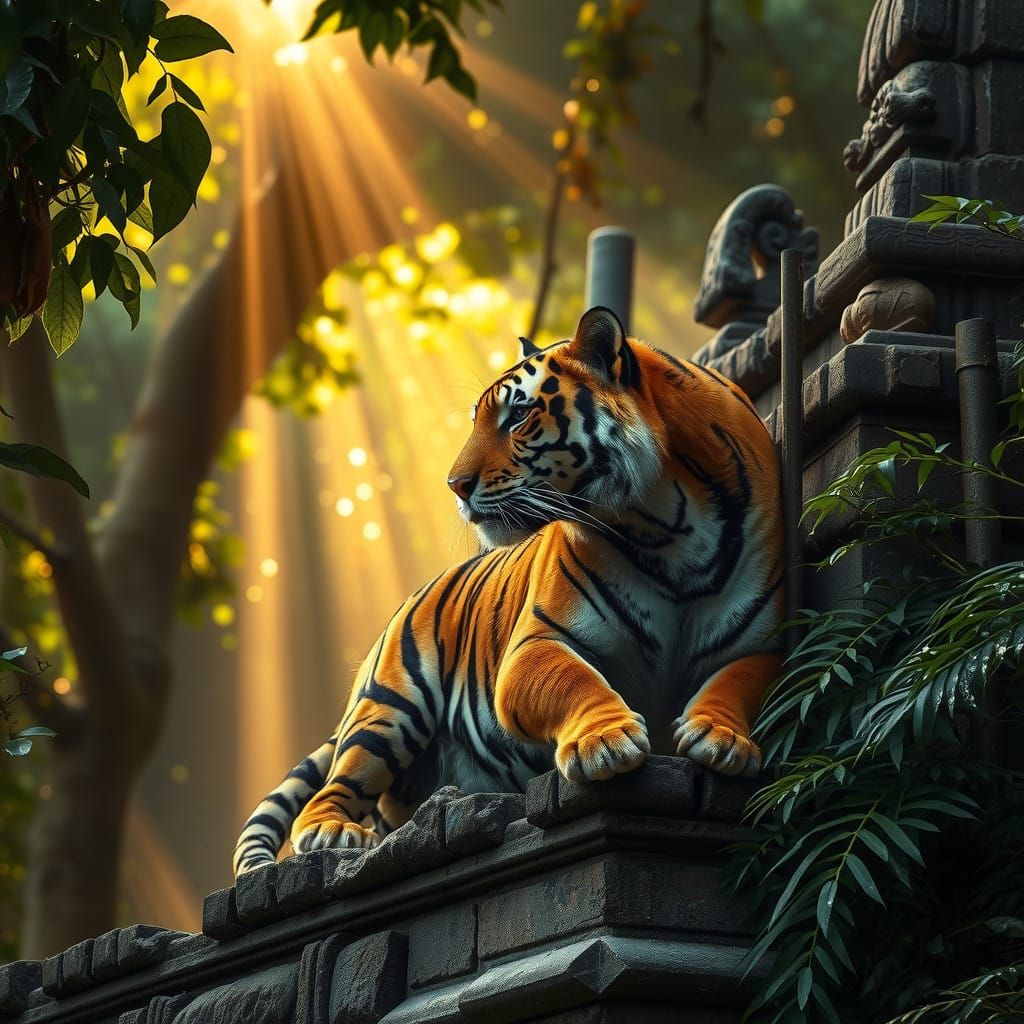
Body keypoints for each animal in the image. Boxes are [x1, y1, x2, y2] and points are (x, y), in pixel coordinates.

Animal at [233, 306, 785, 875]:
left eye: (518, 416)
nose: (454, 485)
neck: (665, 527)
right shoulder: (535, 644)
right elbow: (574, 680)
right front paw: (605, 741)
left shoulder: (763, 641)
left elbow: (737, 681)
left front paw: (721, 738)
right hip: (388, 706)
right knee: (332, 787)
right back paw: (332, 832)